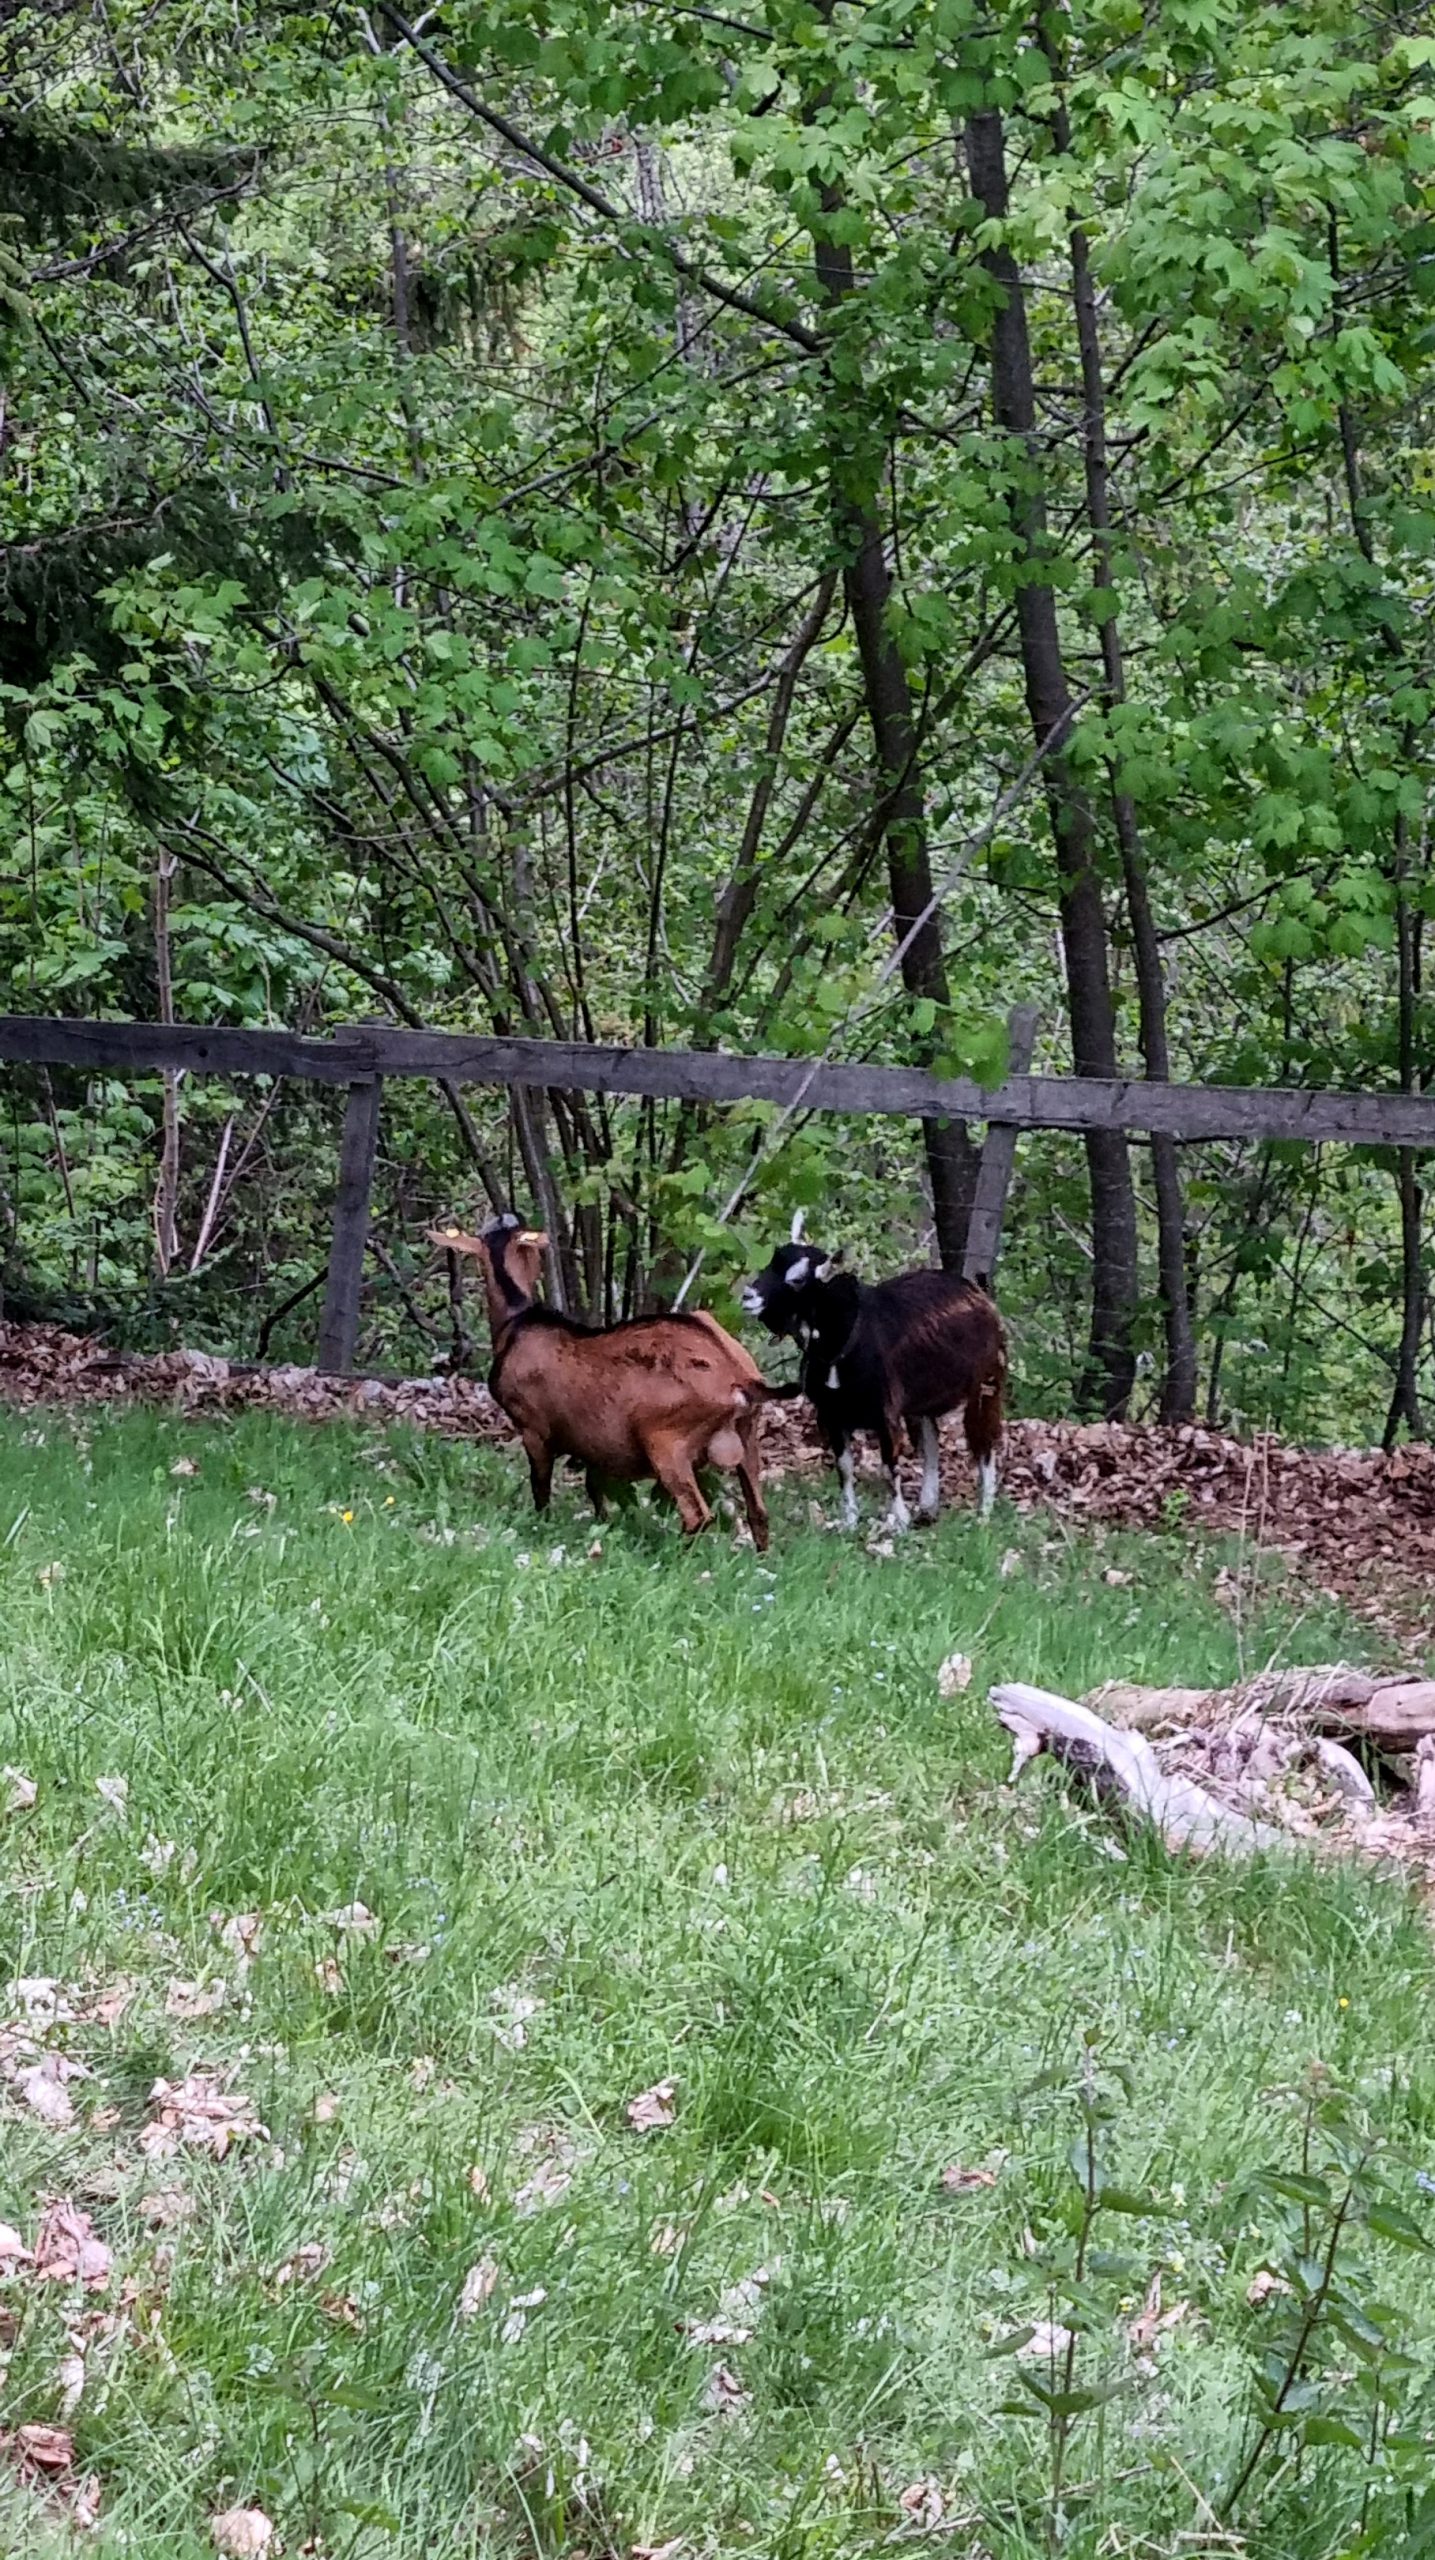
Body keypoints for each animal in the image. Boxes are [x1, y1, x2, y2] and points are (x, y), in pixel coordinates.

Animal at [433, 1214, 778, 1550]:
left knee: (697, 1515)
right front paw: (602, 1526)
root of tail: (737, 1375)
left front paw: (541, 1525)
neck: (518, 1319)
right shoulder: (595, 1442)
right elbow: (595, 1488)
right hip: (747, 1434)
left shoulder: (533, 1429)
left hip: (666, 1439)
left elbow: (541, 1487)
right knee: (758, 1512)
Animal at [741, 1213, 1006, 1531]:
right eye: (770, 1263)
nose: (747, 1296)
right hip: (922, 1402)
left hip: (987, 1383)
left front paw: (898, 1521)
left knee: (985, 1442)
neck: (843, 1341)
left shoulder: (885, 1412)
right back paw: (928, 1509)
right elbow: (844, 1467)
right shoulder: (831, 1414)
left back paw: (983, 1514)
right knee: (931, 1443)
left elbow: (888, 1465)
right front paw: (850, 1522)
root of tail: (979, 1295)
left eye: (797, 1279)